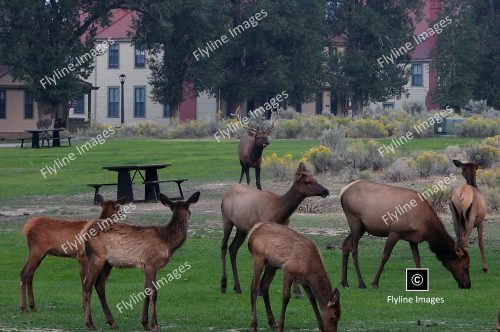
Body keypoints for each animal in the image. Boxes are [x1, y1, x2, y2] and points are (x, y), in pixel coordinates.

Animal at [81, 191, 200, 330]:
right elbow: (153, 292)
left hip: (107, 263)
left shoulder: (148, 266)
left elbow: (146, 290)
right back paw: (90, 324)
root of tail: (85, 235)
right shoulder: (151, 263)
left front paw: (145, 323)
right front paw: (154, 324)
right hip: (96, 257)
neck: (167, 242)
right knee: (87, 284)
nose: (190, 215)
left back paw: (112, 322)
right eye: (189, 210)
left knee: (99, 285)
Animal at [219, 162, 328, 294]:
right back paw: (224, 284)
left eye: (315, 179)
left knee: (233, 248)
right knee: (224, 246)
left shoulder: (284, 227)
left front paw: (297, 291)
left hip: (242, 229)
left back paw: (237, 286)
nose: (326, 190)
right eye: (307, 181)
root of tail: (225, 195)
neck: (278, 212)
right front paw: (260, 289)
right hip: (227, 219)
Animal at [338, 180, 470, 290]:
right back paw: (361, 283)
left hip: (362, 227)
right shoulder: (394, 232)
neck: (425, 226)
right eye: (465, 266)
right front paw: (375, 283)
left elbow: (417, 258)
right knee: (354, 250)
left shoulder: (413, 239)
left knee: (345, 245)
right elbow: (385, 256)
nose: (467, 285)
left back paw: (344, 283)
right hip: (354, 220)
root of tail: (343, 191)